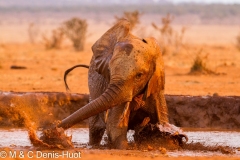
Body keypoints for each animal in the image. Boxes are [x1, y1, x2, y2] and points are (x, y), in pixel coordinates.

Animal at [58, 19, 174, 149]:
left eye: (139, 75)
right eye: (109, 70)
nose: (56, 128)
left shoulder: (155, 87)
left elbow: (162, 121)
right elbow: (115, 128)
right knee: (96, 128)